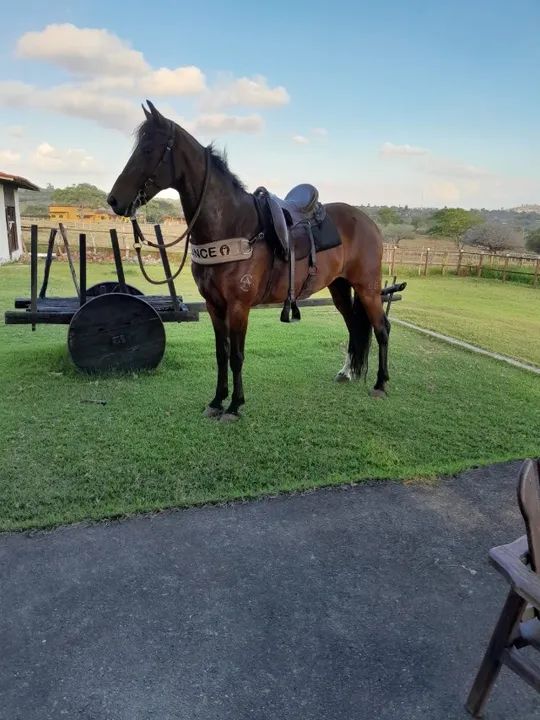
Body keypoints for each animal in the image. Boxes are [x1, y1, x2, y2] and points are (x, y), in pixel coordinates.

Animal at [108, 101, 391, 422]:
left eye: (147, 150)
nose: (114, 200)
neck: (232, 225)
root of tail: (369, 223)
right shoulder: (214, 305)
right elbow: (221, 354)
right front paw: (217, 400)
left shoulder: (239, 306)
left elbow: (236, 355)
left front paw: (234, 405)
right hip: (340, 288)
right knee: (355, 327)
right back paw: (348, 372)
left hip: (368, 288)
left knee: (381, 328)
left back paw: (380, 384)